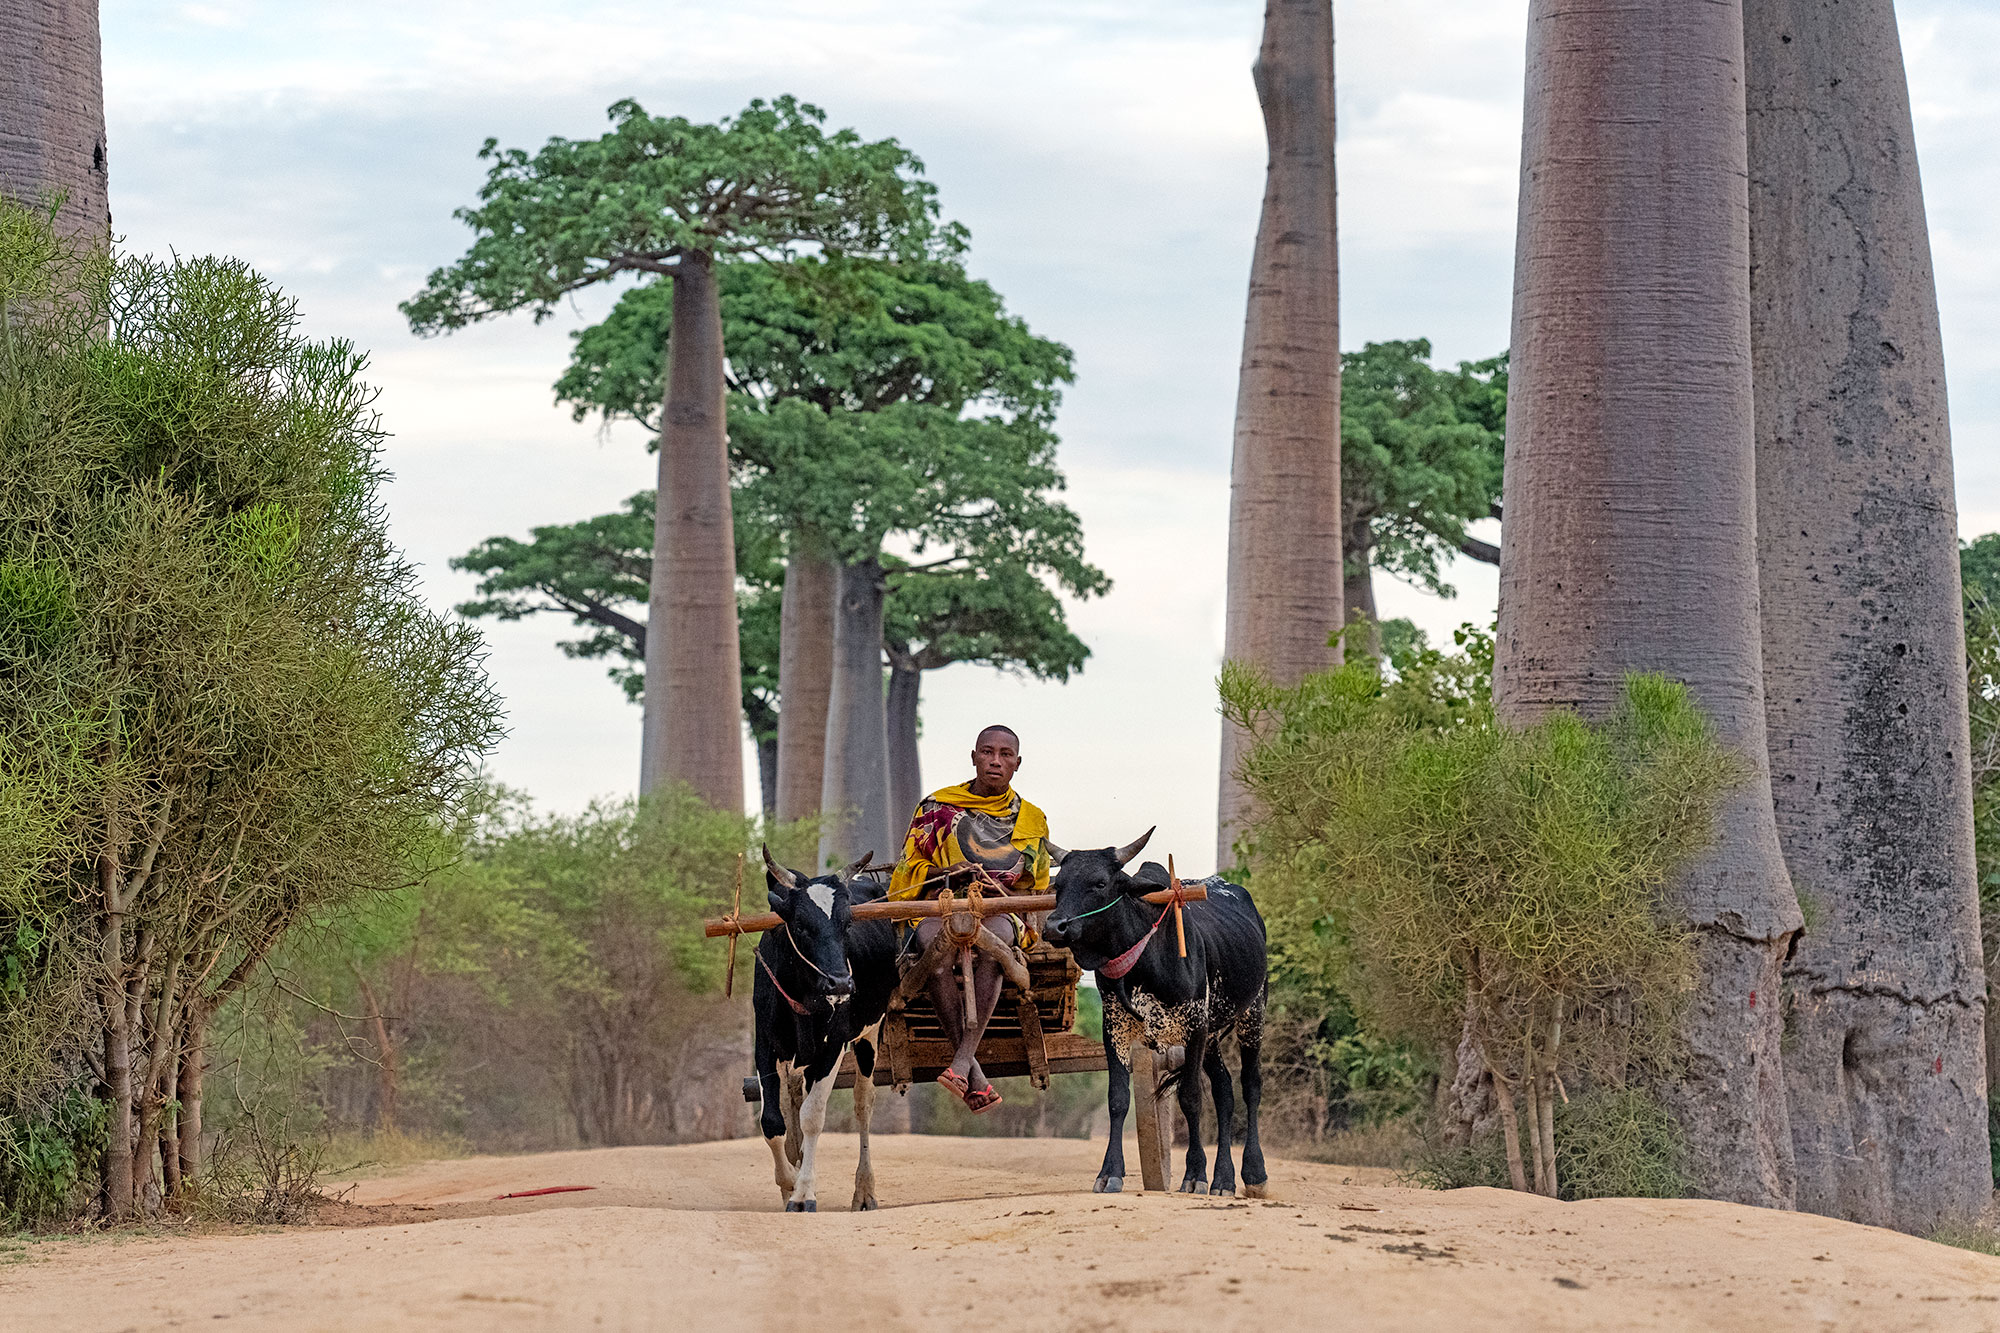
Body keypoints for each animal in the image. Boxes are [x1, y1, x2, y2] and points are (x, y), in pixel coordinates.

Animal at [751, 848, 898, 1212]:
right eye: (801, 925)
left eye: (847, 924)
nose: (841, 983)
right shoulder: (765, 1044)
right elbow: (772, 1121)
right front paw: (788, 1181)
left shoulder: (833, 1046)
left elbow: (812, 1116)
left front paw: (803, 1193)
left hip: (870, 1036)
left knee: (863, 1104)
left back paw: (864, 1191)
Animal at [1042, 829, 1269, 1198]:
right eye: (1058, 883)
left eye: (1100, 882)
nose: (1054, 926)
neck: (1145, 956)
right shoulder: (1115, 1030)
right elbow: (1118, 1100)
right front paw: (1110, 1173)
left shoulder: (1194, 1026)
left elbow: (1190, 1098)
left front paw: (1194, 1174)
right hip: (1212, 1036)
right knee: (1224, 1092)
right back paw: (1223, 1179)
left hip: (1253, 1013)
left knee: (1250, 1086)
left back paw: (1253, 1173)